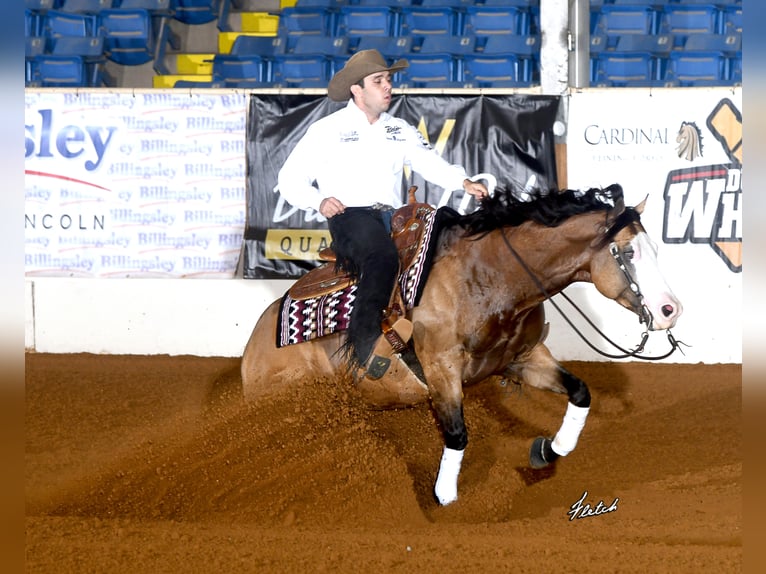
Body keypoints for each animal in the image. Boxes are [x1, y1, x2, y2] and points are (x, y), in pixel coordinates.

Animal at [241, 183, 683, 506]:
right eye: (627, 252)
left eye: (655, 249)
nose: (670, 310)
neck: (488, 276)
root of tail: (254, 346)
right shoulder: (441, 368)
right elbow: (456, 434)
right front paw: (445, 496)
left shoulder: (523, 358)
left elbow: (580, 391)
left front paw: (549, 449)